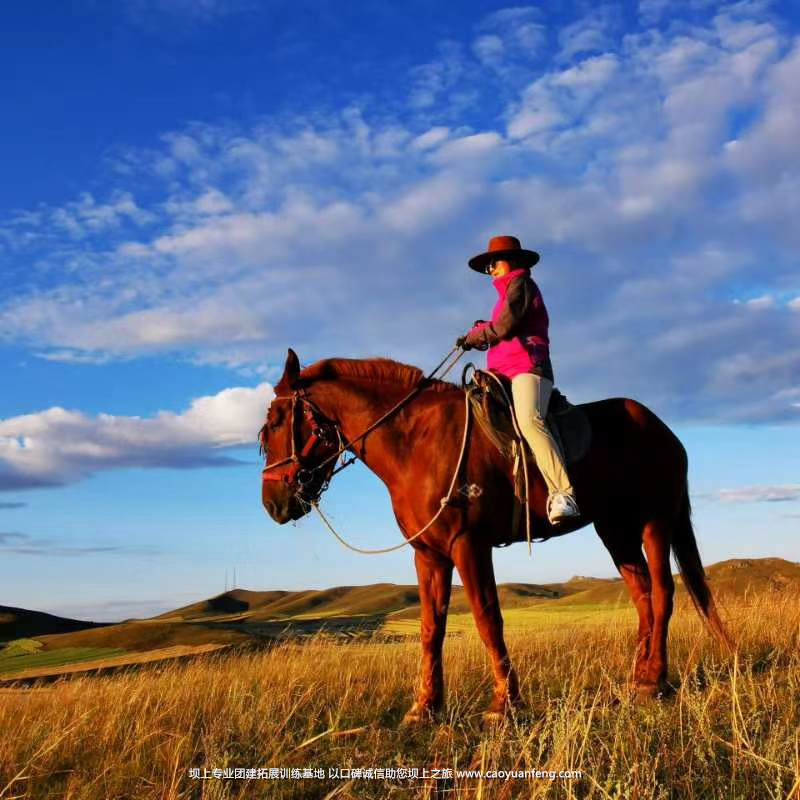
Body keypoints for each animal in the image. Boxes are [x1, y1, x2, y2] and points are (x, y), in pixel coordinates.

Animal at [262, 350, 732, 724]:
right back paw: (638, 677)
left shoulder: (468, 545)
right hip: (614, 529)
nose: (273, 504)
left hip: (656, 521)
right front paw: (425, 707)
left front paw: (504, 703)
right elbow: (431, 628)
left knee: (663, 593)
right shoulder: (428, 555)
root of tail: (664, 430)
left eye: (276, 422)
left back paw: (655, 682)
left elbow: (488, 619)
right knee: (643, 597)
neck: (416, 441)